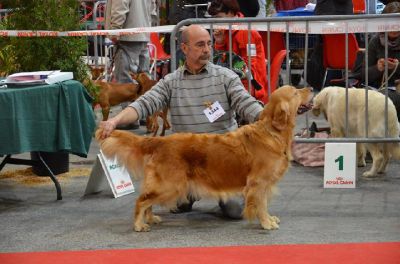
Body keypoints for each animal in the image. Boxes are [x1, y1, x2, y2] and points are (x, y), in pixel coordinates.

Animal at [96, 86, 312, 231]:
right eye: (295, 93)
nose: (309, 87)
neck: (272, 132)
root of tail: (159, 141)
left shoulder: (264, 184)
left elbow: (264, 203)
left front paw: (270, 219)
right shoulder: (258, 182)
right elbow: (261, 205)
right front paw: (266, 223)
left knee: (147, 199)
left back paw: (150, 219)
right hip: (170, 185)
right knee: (141, 200)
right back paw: (139, 225)